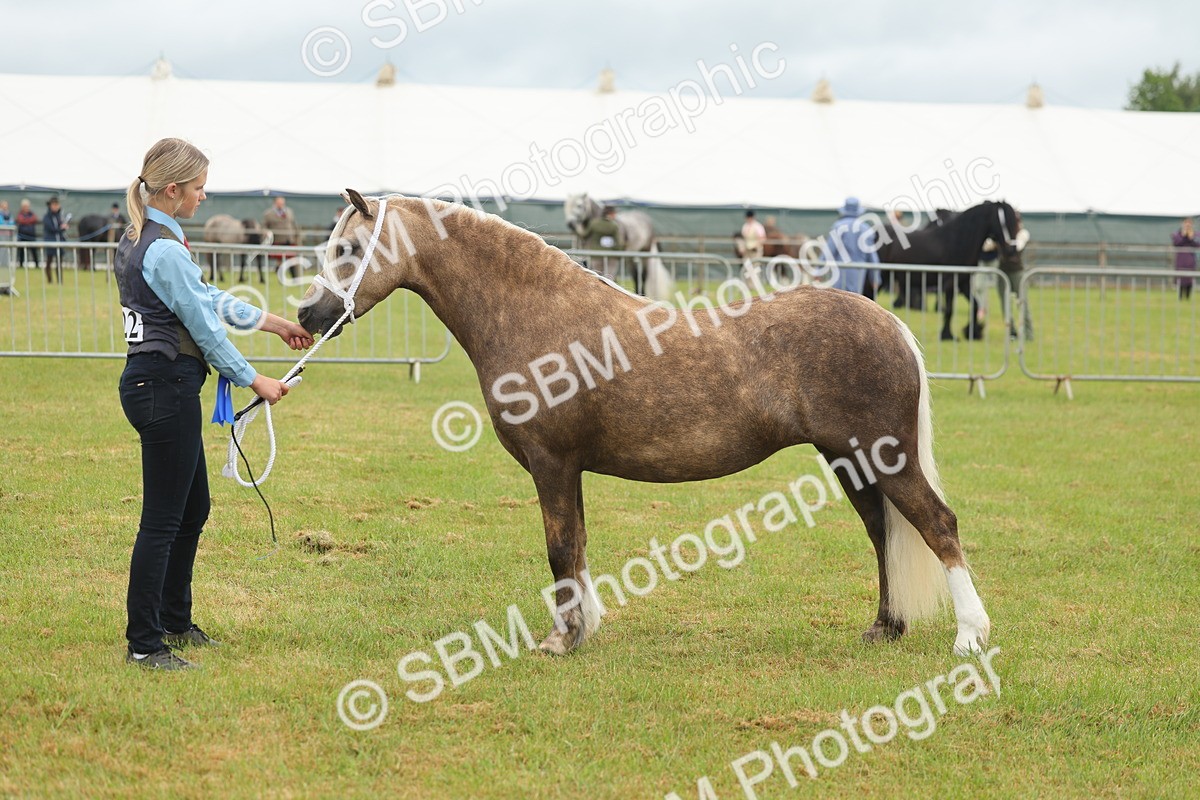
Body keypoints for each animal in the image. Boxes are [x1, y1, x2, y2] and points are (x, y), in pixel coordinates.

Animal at [297, 191, 992, 658]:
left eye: (348, 250)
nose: (308, 314)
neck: (537, 315)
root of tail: (891, 323)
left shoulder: (551, 463)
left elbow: (559, 550)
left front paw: (560, 641)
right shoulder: (569, 468)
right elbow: (576, 546)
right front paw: (581, 629)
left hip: (886, 456)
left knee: (937, 525)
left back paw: (969, 637)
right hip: (851, 461)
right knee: (884, 533)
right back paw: (885, 627)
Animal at [877, 201, 1019, 341]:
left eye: (1015, 221)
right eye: (1001, 221)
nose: (1011, 251)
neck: (958, 241)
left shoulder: (963, 283)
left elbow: (975, 305)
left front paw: (972, 332)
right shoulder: (950, 283)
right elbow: (949, 310)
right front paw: (947, 335)